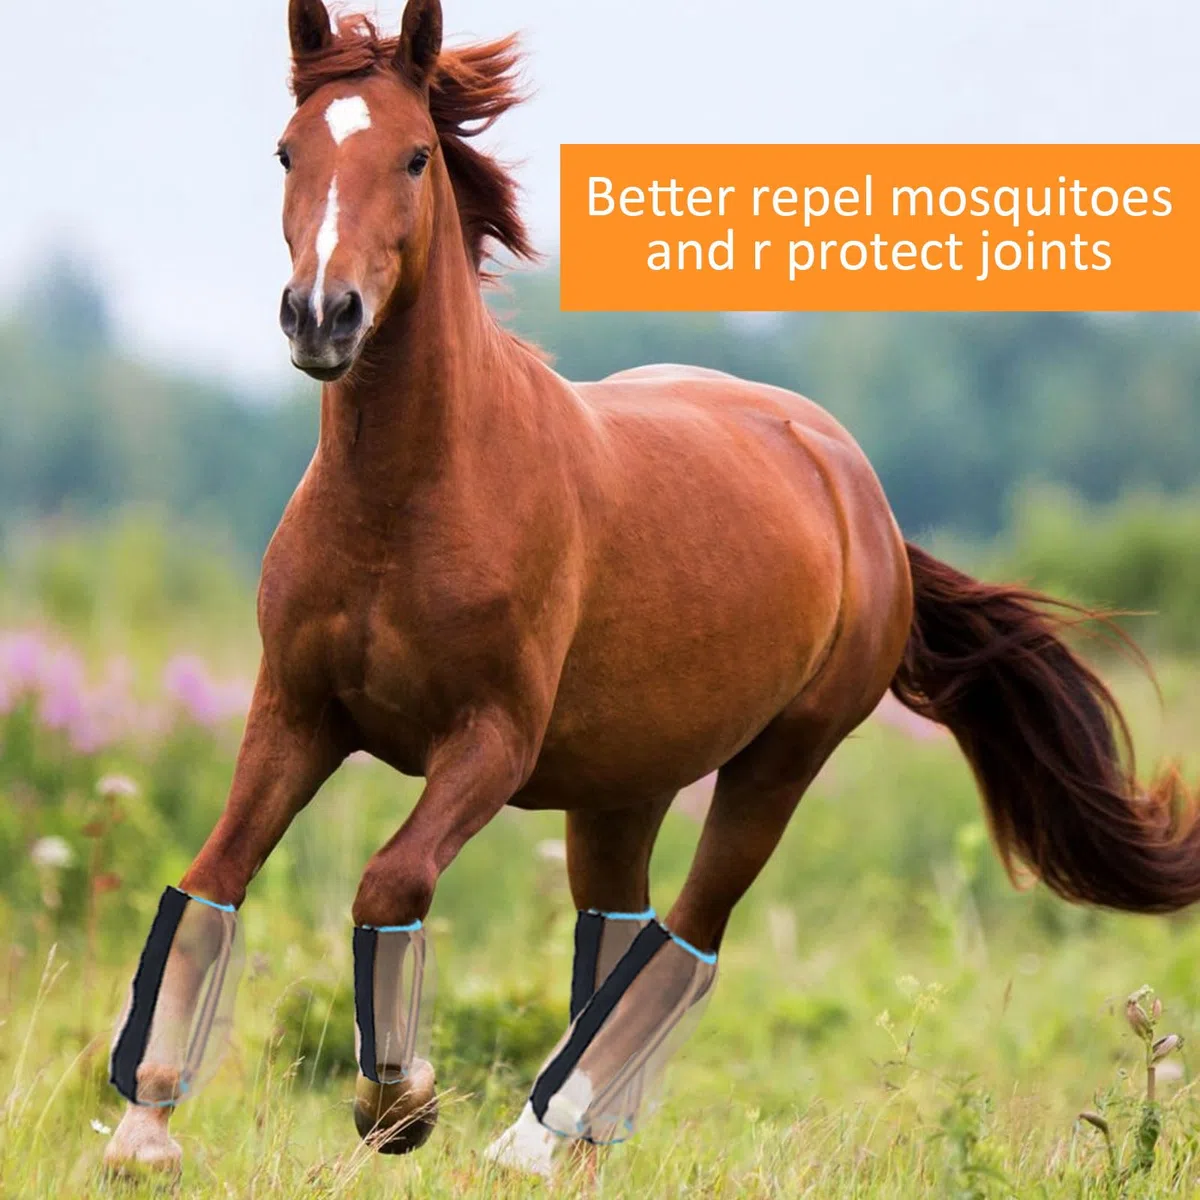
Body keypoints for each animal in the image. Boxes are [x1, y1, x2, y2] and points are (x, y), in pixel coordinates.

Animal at [104, 0, 1200, 1178]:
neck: (406, 501)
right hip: (622, 784)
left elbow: (389, 883)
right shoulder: (295, 715)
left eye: (413, 155)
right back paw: (563, 1144)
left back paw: (536, 1140)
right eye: (287, 151)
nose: (322, 316)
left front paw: (400, 1104)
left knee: (685, 937)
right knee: (616, 933)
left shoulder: (488, 743)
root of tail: (854, 485)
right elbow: (210, 878)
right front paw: (142, 1130)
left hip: (777, 765)